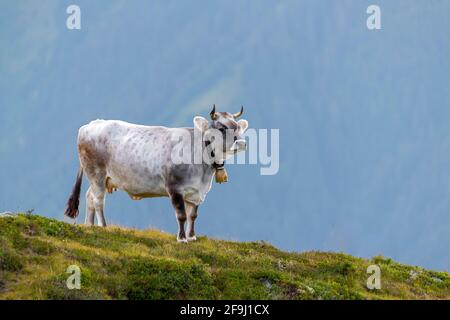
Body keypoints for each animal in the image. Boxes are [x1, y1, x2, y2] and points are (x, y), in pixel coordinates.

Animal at [64, 105, 250, 242]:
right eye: (222, 128)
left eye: (237, 127)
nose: (242, 143)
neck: (203, 171)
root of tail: (91, 124)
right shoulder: (174, 188)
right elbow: (181, 215)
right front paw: (182, 238)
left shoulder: (196, 192)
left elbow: (193, 215)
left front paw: (192, 237)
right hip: (96, 172)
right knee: (98, 200)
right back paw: (103, 226)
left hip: (101, 178)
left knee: (89, 196)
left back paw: (89, 226)